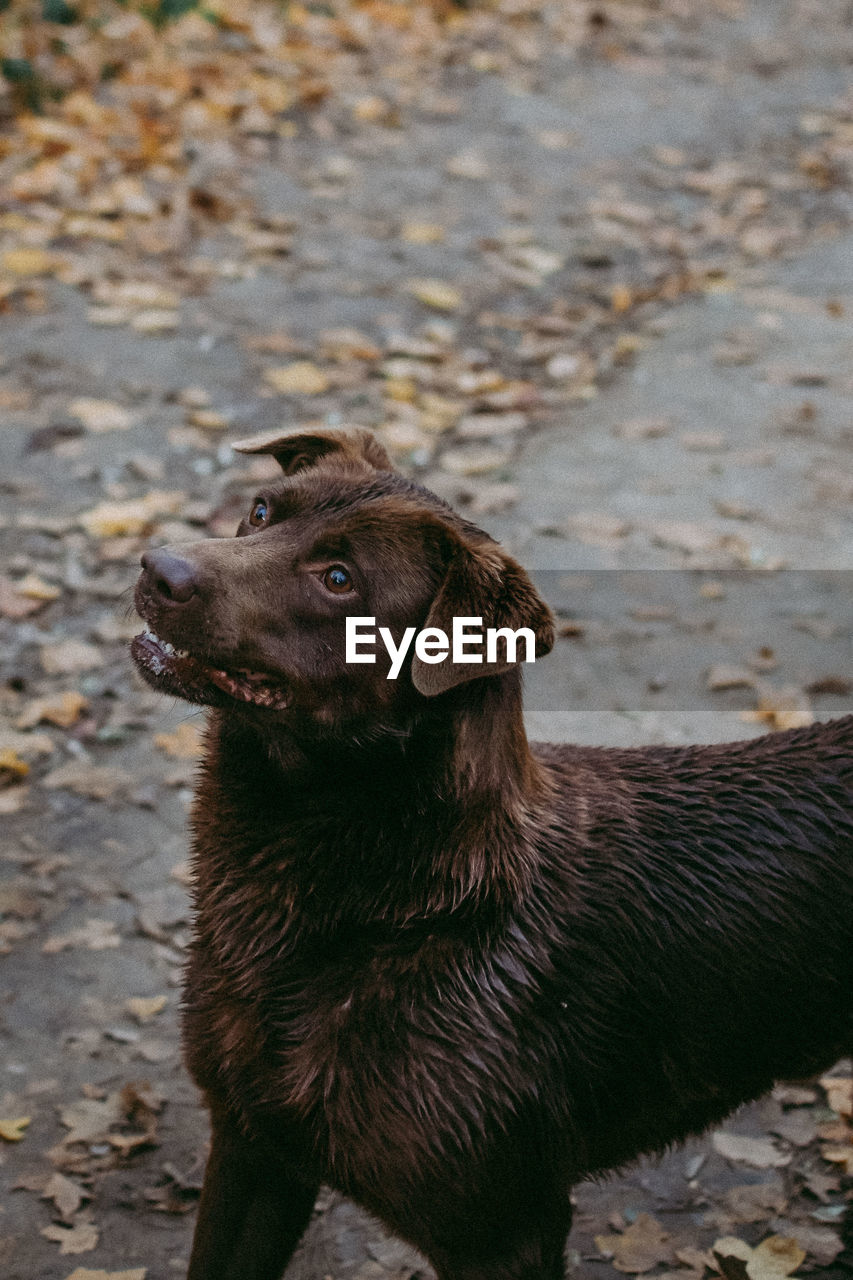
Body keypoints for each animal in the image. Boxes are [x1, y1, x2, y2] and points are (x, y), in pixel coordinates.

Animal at [129, 427, 845, 1280]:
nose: (157, 568)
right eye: (264, 509)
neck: (400, 915)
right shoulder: (252, 1149)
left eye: (338, 579)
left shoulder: (505, 1232)